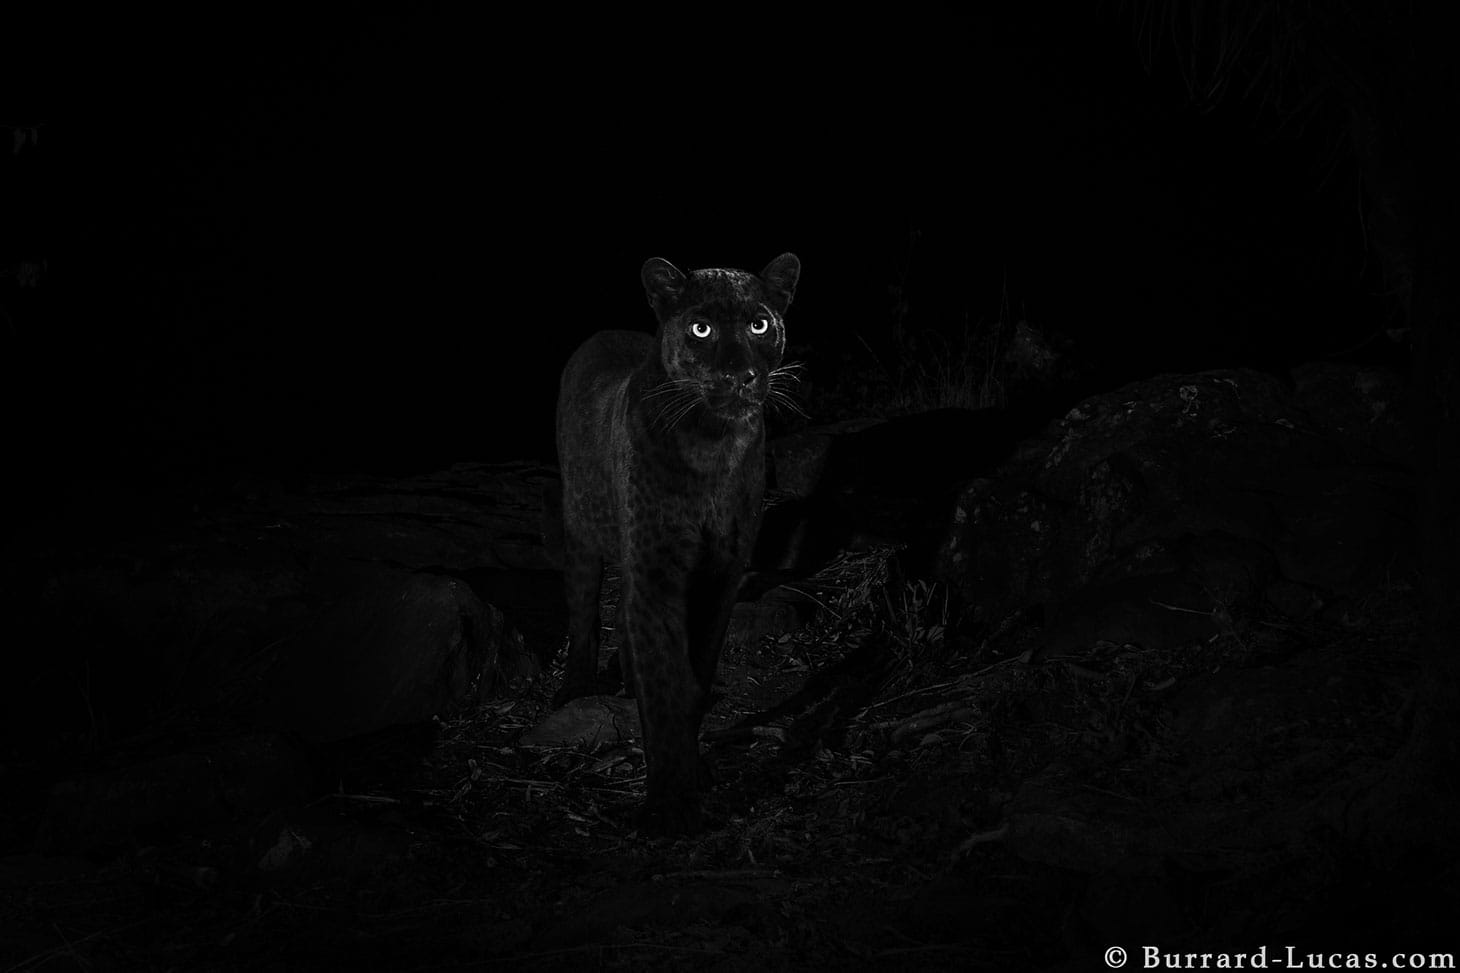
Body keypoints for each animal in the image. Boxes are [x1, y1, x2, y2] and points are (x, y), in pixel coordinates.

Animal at [553, 252, 801, 835]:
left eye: (760, 324)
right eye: (701, 328)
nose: (738, 375)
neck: (713, 442)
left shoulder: (721, 573)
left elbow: (697, 673)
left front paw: (695, 770)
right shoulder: (656, 569)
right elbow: (666, 679)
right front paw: (670, 805)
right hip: (582, 530)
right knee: (583, 607)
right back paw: (578, 685)